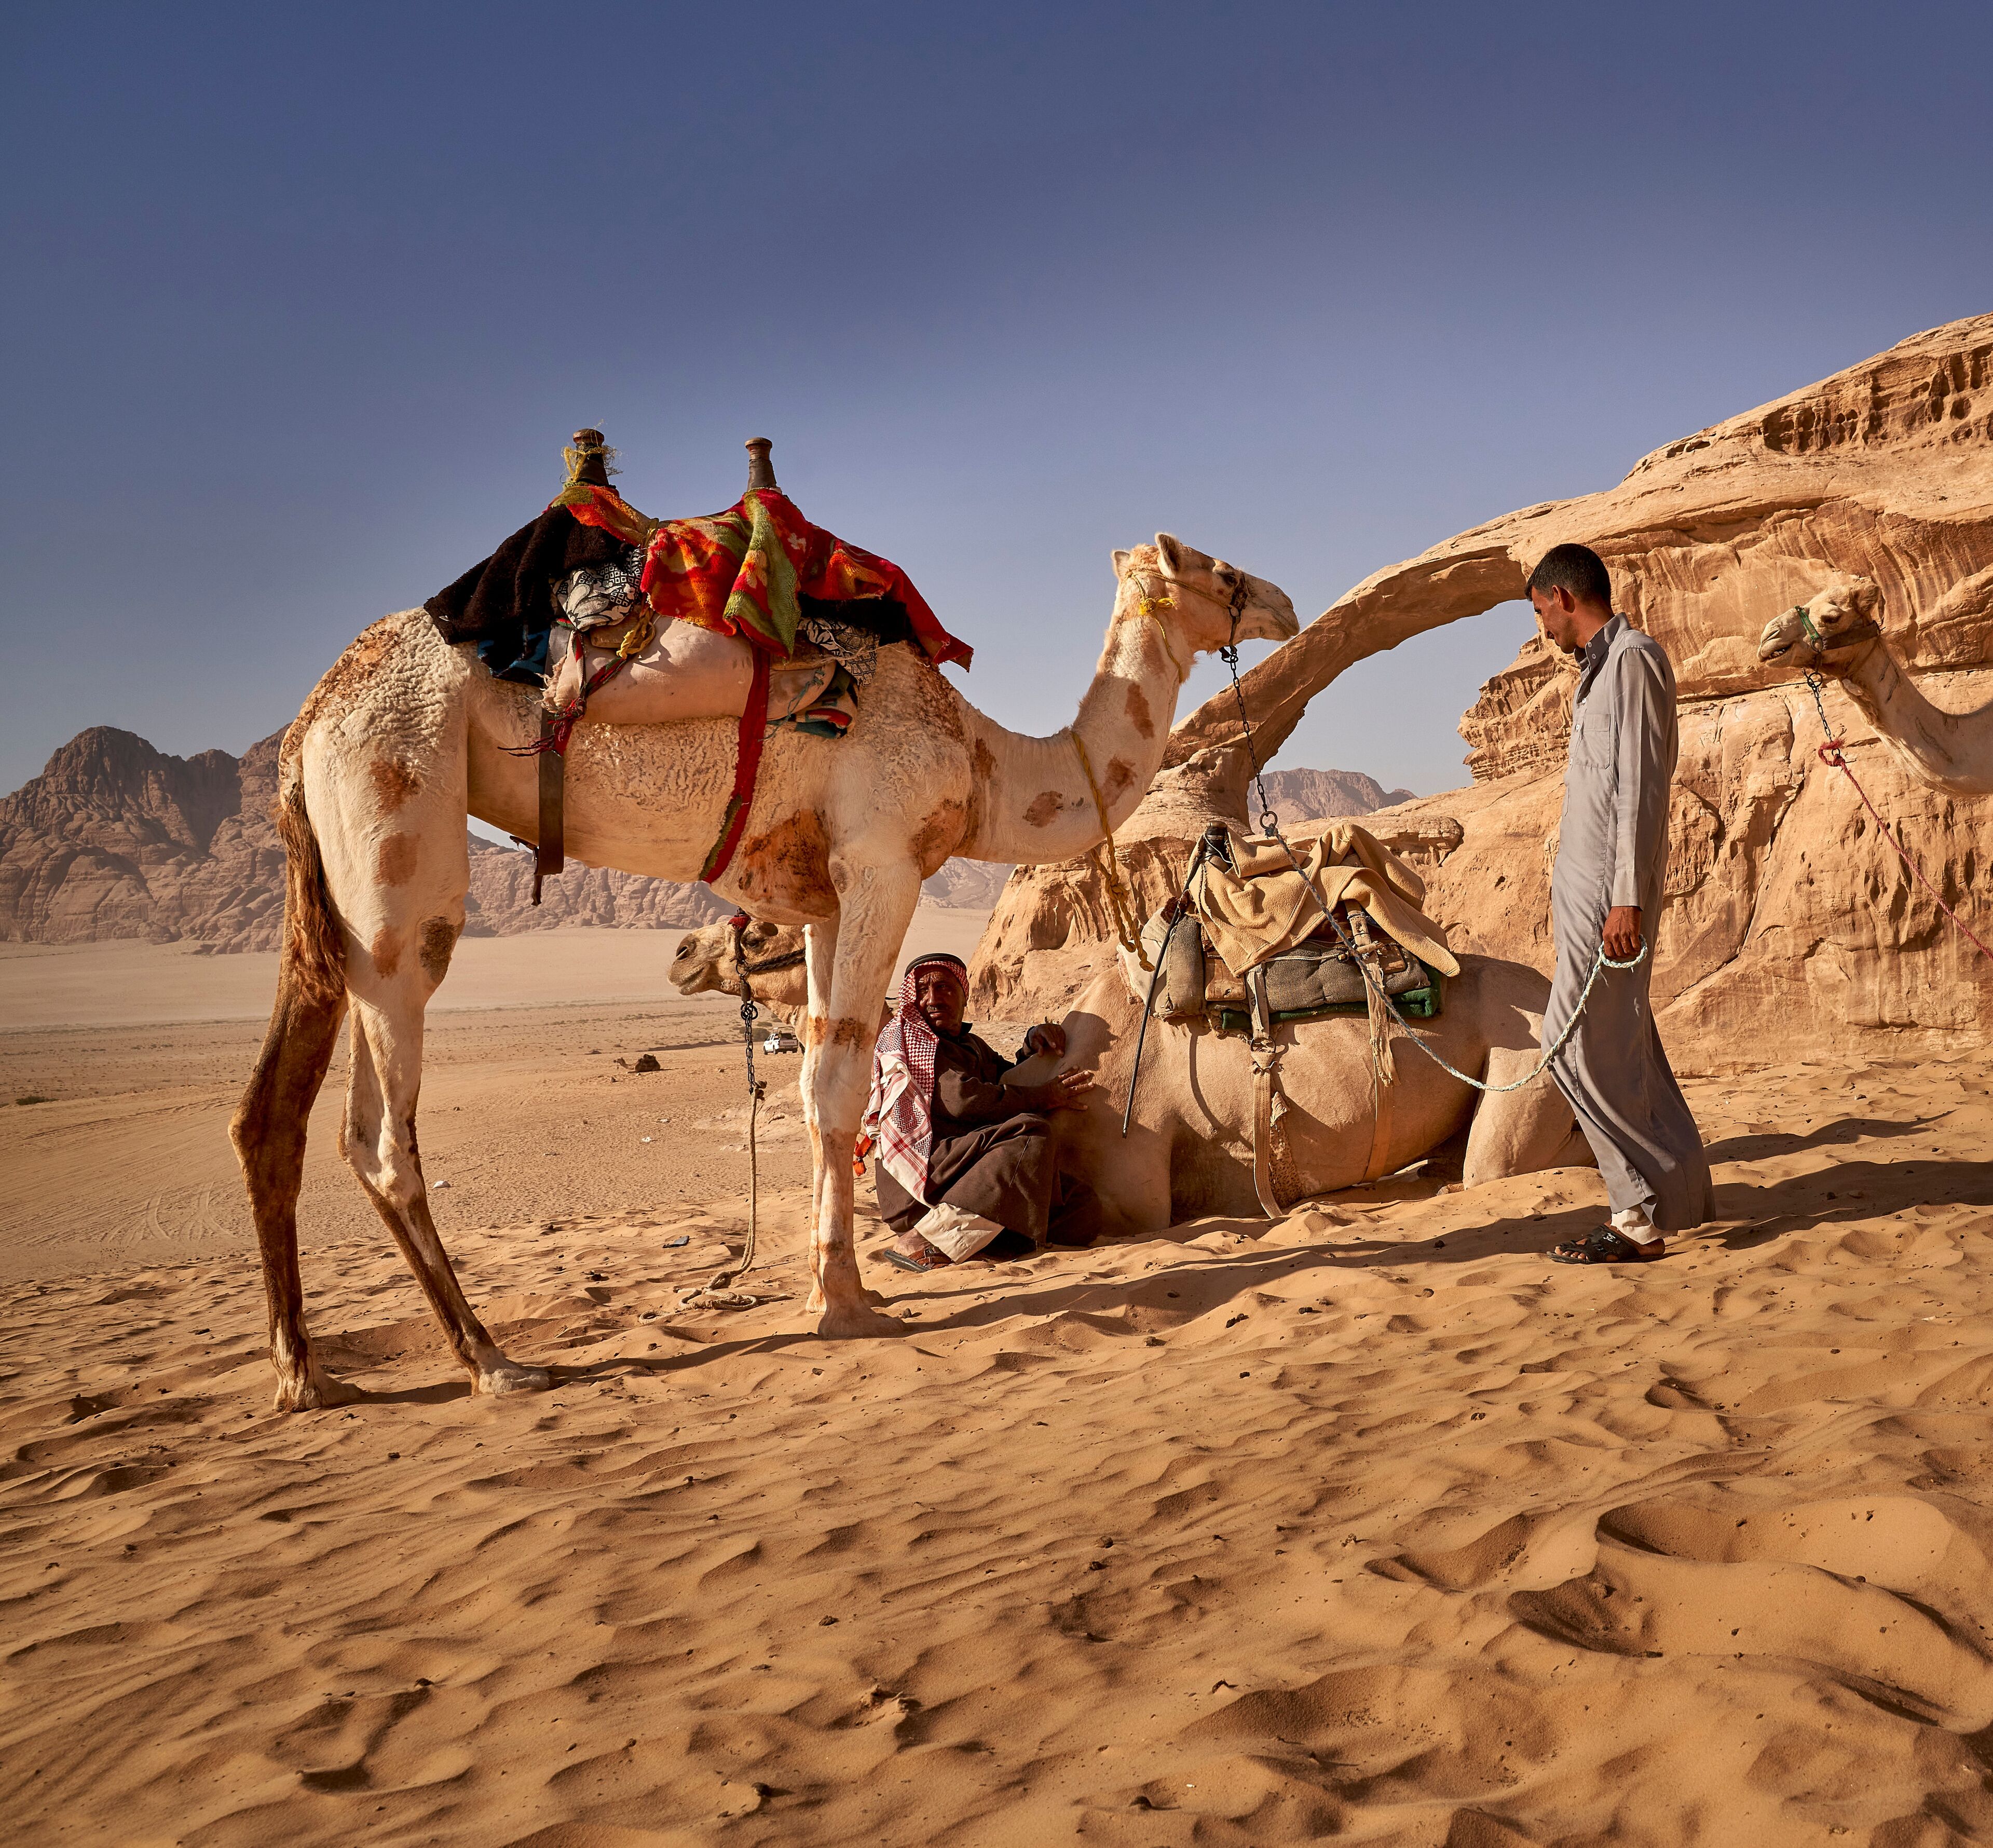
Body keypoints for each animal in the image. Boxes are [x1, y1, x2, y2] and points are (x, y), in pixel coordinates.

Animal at [231, 529, 1297, 1409]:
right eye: (1218, 570)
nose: (1281, 602)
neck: (984, 758)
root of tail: (308, 722)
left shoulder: (823, 899)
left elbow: (813, 1072)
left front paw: (834, 1287)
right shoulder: (883, 861)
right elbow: (839, 1086)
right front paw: (845, 1305)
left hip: (330, 878)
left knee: (274, 1116)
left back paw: (305, 1376)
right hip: (400, 832)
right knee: (378, 1131)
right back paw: (492, 1362)